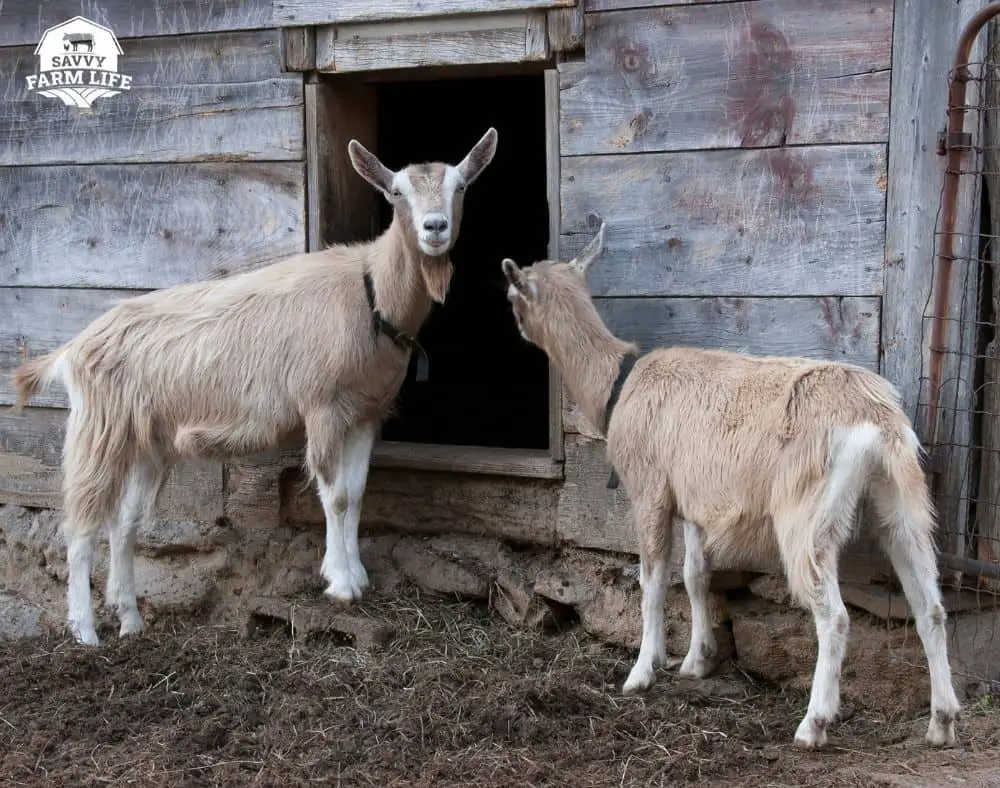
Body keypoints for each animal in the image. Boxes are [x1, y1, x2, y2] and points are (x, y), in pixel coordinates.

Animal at [11, 128, 499, 647]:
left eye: (461, 186)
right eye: (396, 193)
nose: (434, 228)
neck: (371, 292)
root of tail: (73, 347)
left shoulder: (366, 414)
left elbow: (357, 493)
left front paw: (359, 574)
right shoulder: (322, 407)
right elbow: (335, 496)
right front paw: (340, 584)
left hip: (149, 442)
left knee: (124, 524)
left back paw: (130, 619)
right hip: (99, 430)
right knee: (80, 527)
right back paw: (85, 631)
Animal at [500, 223, 962, 750]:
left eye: (513, 295)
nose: (514, 324)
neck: (618, 385)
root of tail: (875, 417)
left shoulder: (650, 490)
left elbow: (652, 579)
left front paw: (641, 672)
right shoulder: (695, 501)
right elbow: (696, 574)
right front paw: (696, 660)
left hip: (807, 512)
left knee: (835, 614)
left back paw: (814, 724)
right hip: (902, 500)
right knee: (930, 607)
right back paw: (942, 722)